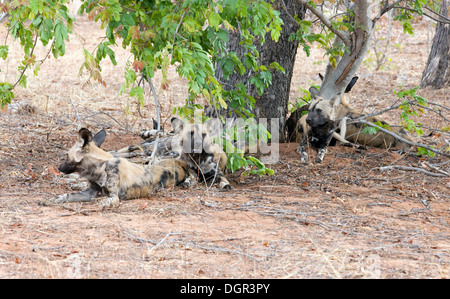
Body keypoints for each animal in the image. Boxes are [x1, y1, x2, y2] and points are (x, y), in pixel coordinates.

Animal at [39, 127, 192, 207]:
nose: (59, 168)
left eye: (66, 156)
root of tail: (182, 163)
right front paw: (51, 200)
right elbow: (67, 195)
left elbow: (100, 200)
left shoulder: (113, 196)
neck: (99, 167)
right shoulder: (89, 192)